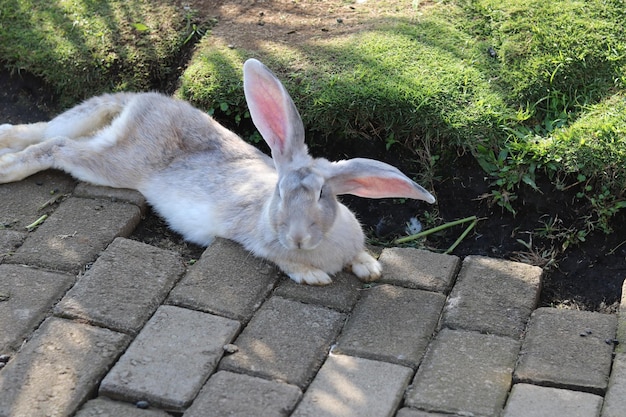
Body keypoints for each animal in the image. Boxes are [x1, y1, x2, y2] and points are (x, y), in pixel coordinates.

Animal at [0, 58, 434, 284]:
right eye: (279, 193)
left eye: (323, 196)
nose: (295, 238)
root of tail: (142, 102)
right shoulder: (253, 239)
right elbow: (278, 259)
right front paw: (314, 276)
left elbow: (360, 255)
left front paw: (370, 267)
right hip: (116, 166)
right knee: (56, 145)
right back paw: (7, 169)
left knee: (49, 131)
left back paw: (5, 136)